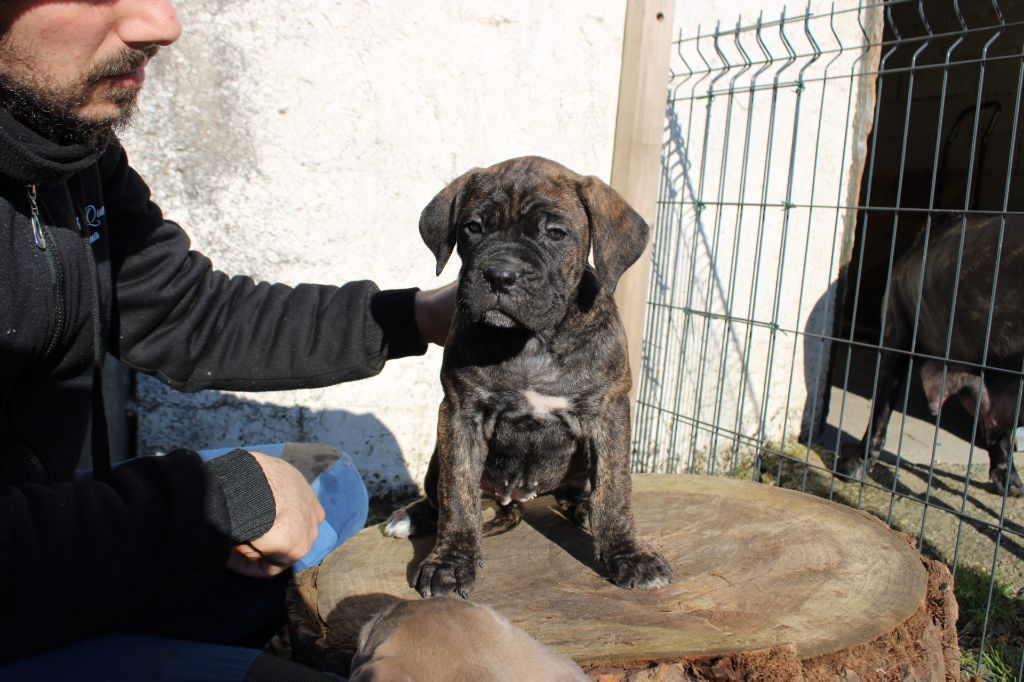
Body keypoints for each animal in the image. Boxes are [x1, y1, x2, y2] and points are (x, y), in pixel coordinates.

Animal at [382, 153, 671, 593]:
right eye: (473, 228)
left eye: (555, 233)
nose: (501, 275)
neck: (531, 340)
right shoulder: (460, 414)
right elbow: (457, 494)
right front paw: (450, 561)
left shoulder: (609, 413)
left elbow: (615, 489)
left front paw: (628, 554)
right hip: (438, 453)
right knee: (438, 494)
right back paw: (410, 516)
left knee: (581, 492)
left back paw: (583, 510)